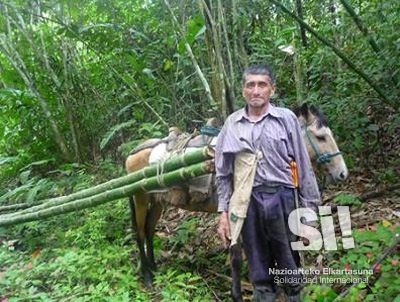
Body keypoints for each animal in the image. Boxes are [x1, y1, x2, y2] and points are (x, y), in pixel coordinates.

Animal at [124, 103, 346, 300]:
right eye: (321, 136)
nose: (343, 173)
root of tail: (131, 154)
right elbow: (237, 255)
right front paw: (237, 295)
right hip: (139, 198)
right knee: (141, 233)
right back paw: (147, 276)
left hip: (157, 201)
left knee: (150, 230)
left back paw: (153, 268)